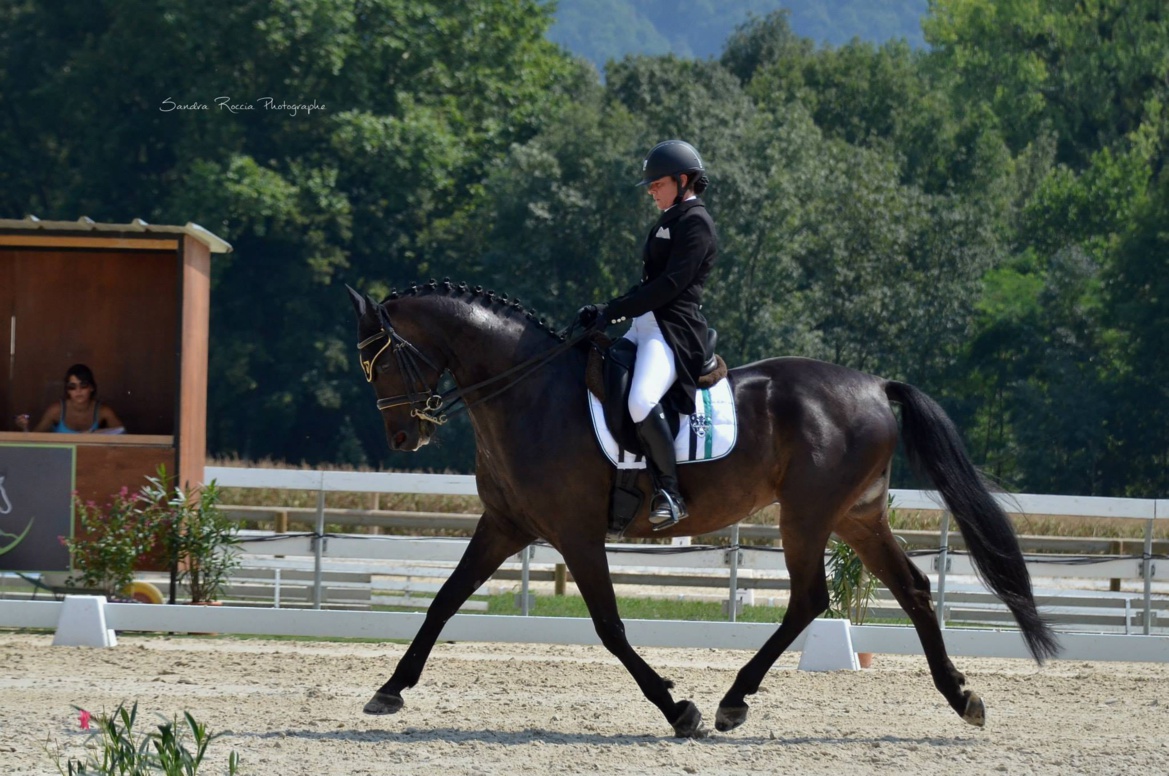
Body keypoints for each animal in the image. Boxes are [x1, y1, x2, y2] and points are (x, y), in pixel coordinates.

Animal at [346, 281, 1061, 738]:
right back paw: (962, 697)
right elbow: (443, 601)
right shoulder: (505, 525)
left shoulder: (576, 534)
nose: (404, 438)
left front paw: (676, 709)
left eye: (381, 361)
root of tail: (874, 385)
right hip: (855, 517)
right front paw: (388, 690)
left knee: (810, 598)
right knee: (909, 589)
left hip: (807, 515)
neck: (528, 392)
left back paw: (730, 702)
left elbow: (610, 627)